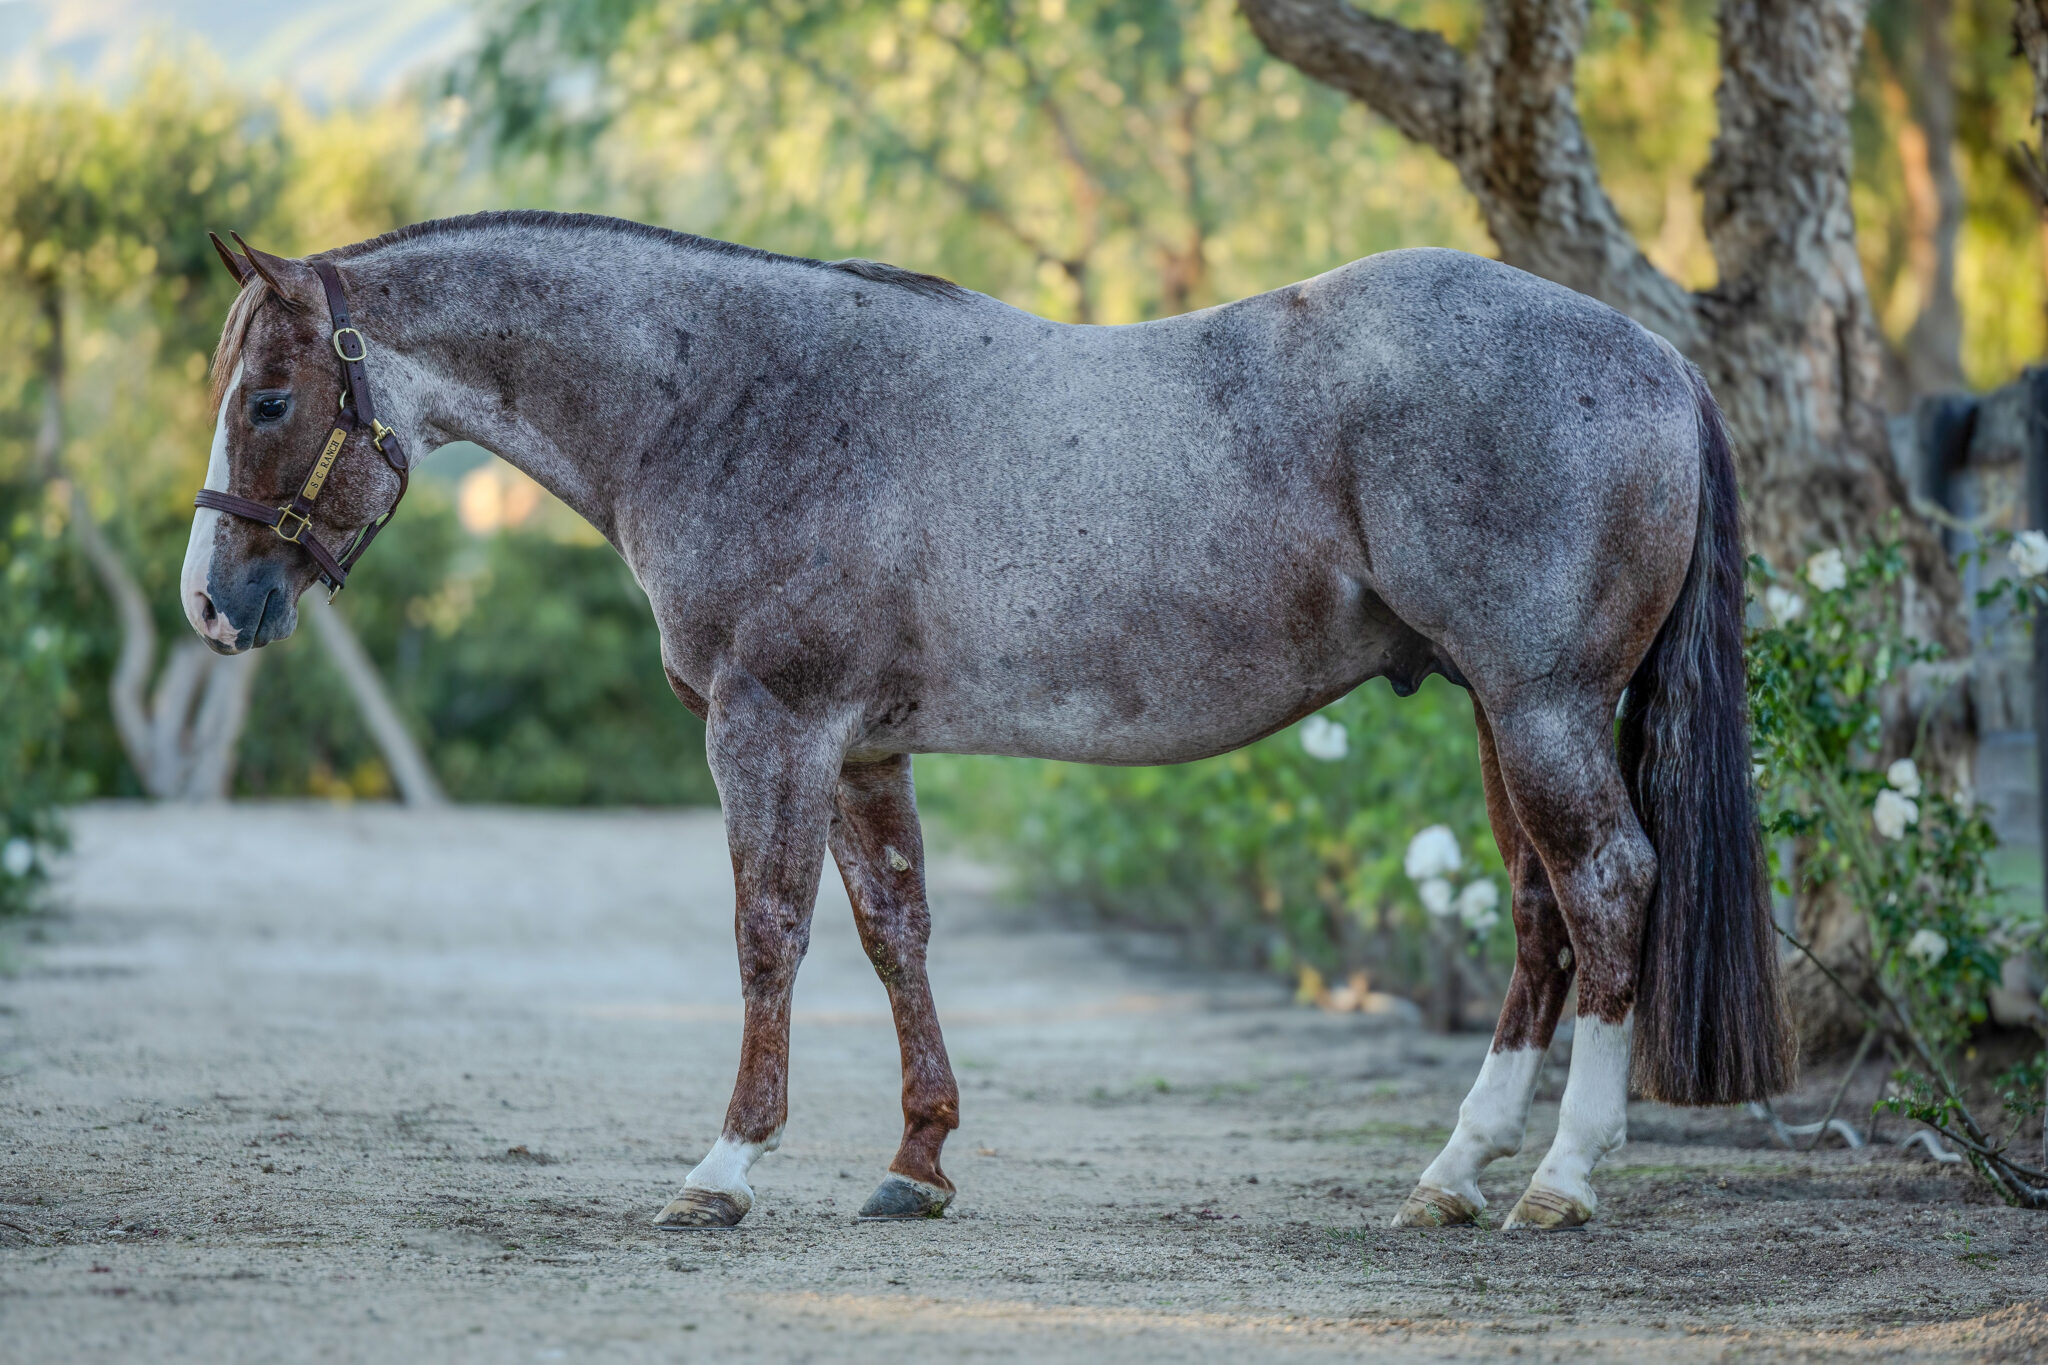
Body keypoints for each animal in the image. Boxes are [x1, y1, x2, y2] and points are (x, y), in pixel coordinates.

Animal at [181, 211, 1792, 1231]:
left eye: (267, 400)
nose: (213, 602)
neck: (736, 398)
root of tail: (1654, 359)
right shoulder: (863, 746)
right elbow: (895, 933)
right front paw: (917, 1163)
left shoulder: (770, 729)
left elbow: (769, 934)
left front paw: (725, 1169)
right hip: (1500, 715)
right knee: (1537, 918)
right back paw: (1452, 1177)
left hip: (1542, 707)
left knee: (1608, 892)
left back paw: (1560, 1183)